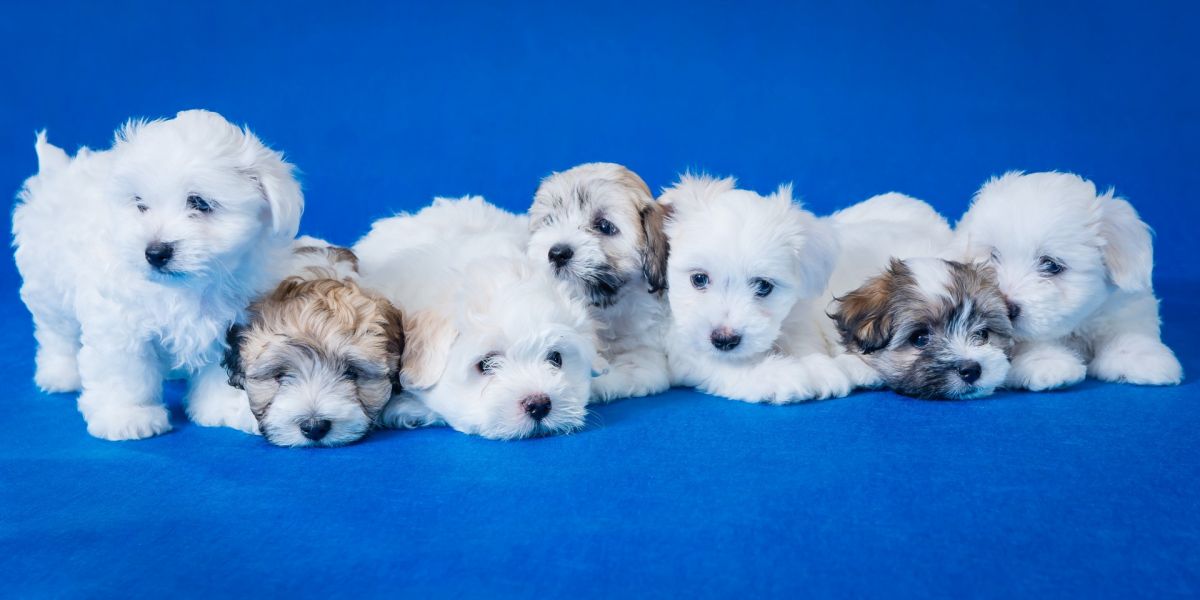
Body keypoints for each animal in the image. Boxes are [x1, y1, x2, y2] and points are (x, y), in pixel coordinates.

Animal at [12, 110, 303, 440]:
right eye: (140, 205)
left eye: (199, 202)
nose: (155, 252)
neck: (186, 288)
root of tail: (57, 173)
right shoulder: (118, 323)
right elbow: (123, 371)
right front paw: (127, 416)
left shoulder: (230, 324)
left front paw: (224, 407)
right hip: (48, 283)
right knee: (56, 333)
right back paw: (60, 373)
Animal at [954, 171, 1182, 390]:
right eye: (993, 256)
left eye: (1051, 265)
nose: (1008, 309)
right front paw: (1045, 362)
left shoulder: (1122, 304)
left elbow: (1127, 328)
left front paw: (1140, 357)